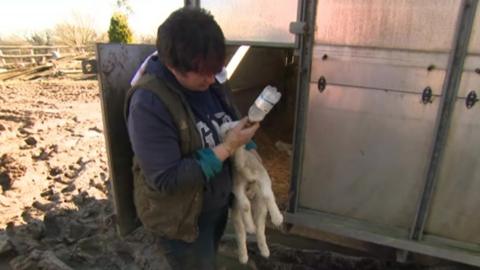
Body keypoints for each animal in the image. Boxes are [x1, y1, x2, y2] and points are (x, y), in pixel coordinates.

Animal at [218, 121, 284, 264]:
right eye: (224, 130)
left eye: (234, 124)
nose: (230, 131)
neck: (243, 166)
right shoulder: (236, 187)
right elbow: (245, 205)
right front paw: (250, 226)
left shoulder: (262, 175)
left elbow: (267, 195)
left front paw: (277, 218)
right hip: (236, 213)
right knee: (241, 233)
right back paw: (244, 254)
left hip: (261, 208)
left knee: (260, 229)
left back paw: (265, 251)